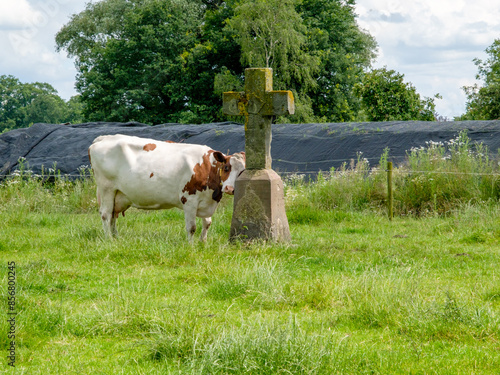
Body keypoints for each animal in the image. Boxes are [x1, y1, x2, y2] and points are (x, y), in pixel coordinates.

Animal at [90, 134, 248, 241]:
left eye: (243, 171)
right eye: (226, 167)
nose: (230, 189)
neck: (207, 167)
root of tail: (104, 138)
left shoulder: (206, 200)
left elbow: (207, 223)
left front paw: (203, 243)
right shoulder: (189, 200)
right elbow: (192, 228)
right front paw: (191, 247)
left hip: (117, 194)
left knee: (112, 215)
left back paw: (116, 237)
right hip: (106, 188)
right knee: (105, 214)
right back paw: (109, 240)